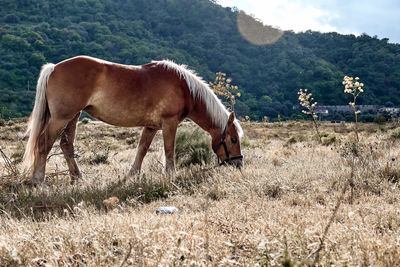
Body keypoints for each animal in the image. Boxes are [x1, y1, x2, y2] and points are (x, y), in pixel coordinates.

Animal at [24, 56, 244, 186]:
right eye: (233, 139)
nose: (238, 165)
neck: (184, 87)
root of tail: (54, 68)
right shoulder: (169, 124)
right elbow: (169, 150)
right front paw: (170, 175)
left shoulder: (151, 126)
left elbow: (142, 149)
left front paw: (132, 175)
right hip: (62, 118)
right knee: (44, 143)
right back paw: (38, 181)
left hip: (72, 117)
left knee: (66, 145)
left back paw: (77, 178)